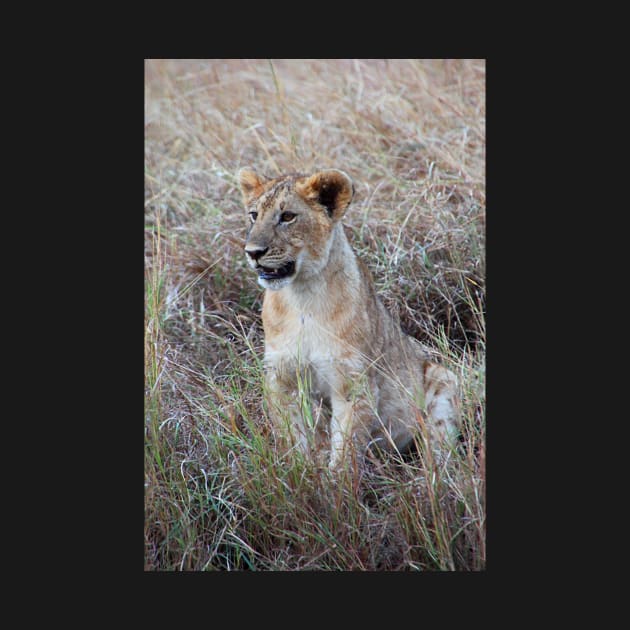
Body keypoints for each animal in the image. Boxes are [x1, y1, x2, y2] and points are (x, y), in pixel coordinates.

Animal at [239, 168, 462, 474]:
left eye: (287, 216)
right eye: (253, 215)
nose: (253, 252)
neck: (302, 298)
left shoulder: (353, 383)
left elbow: (346, 447)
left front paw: (335, 485)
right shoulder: (280, 377)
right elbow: (292, 436)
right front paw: (299, 473)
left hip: (442, 380)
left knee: (439, 450)